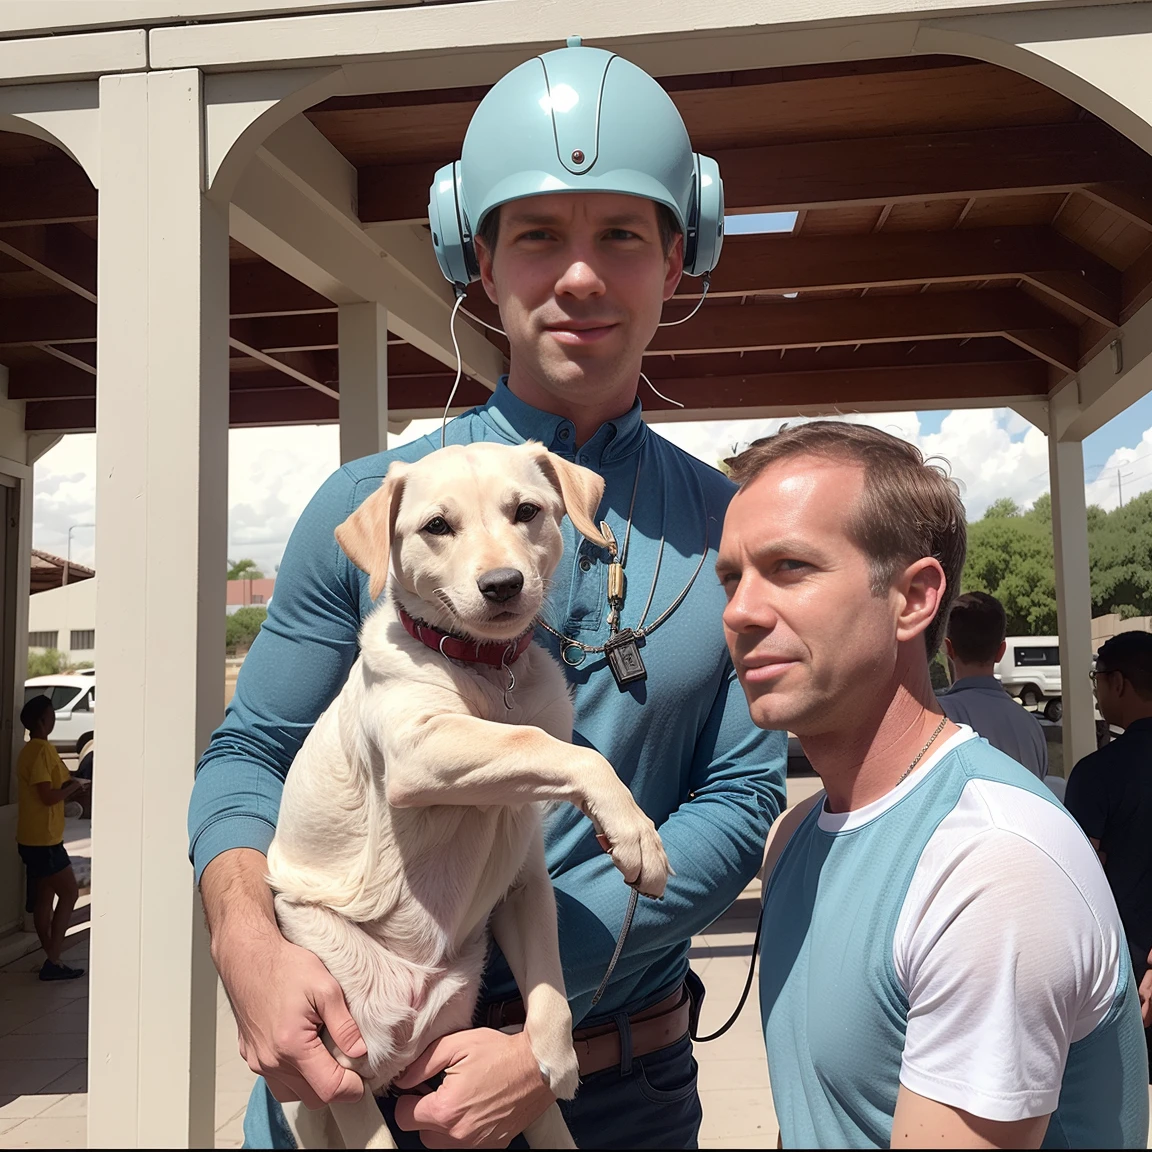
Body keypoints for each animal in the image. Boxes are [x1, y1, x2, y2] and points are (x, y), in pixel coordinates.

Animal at [266, 437, 672, 1142]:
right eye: (437, 526)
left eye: (527, 511)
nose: (502, 584)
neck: (484, 669)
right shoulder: (417, 748)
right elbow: (544, 746)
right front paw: (634, 835)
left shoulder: (524, 884)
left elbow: (550, 999)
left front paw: (552, 1061)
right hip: (338, 1073)